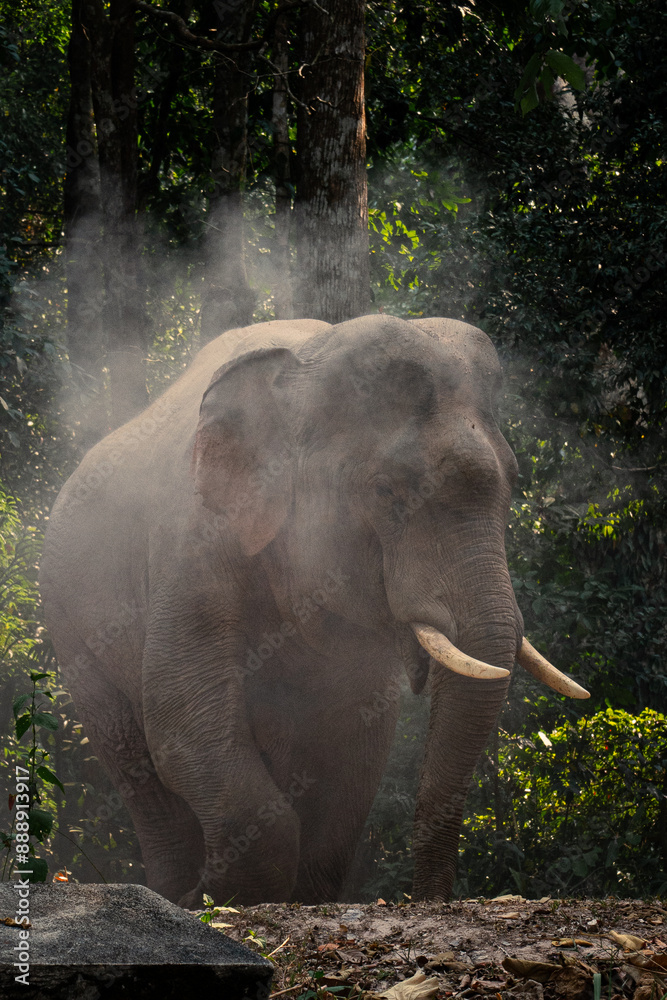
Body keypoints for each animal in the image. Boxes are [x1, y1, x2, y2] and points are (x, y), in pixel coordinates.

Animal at [39, 314, 589, 906]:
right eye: (386, 492)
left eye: (514, 483)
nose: (427, 898)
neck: (301, 367)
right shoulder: (190, 541)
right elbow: (177, 714)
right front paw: (230, 899)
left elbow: (358, 736)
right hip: (71, 631)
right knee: (136, 762)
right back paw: (174, 894)